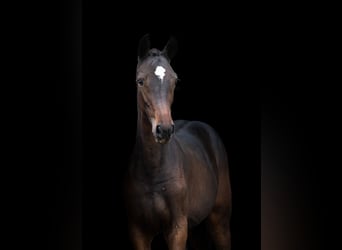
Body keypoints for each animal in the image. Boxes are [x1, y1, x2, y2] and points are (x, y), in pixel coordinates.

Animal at [123, 33, 232, 250]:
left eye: (175, 80)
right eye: (140, 81)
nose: (164, 129)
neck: (154, 171)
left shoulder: (177, 228)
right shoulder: (138, 231)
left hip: (220, 222)